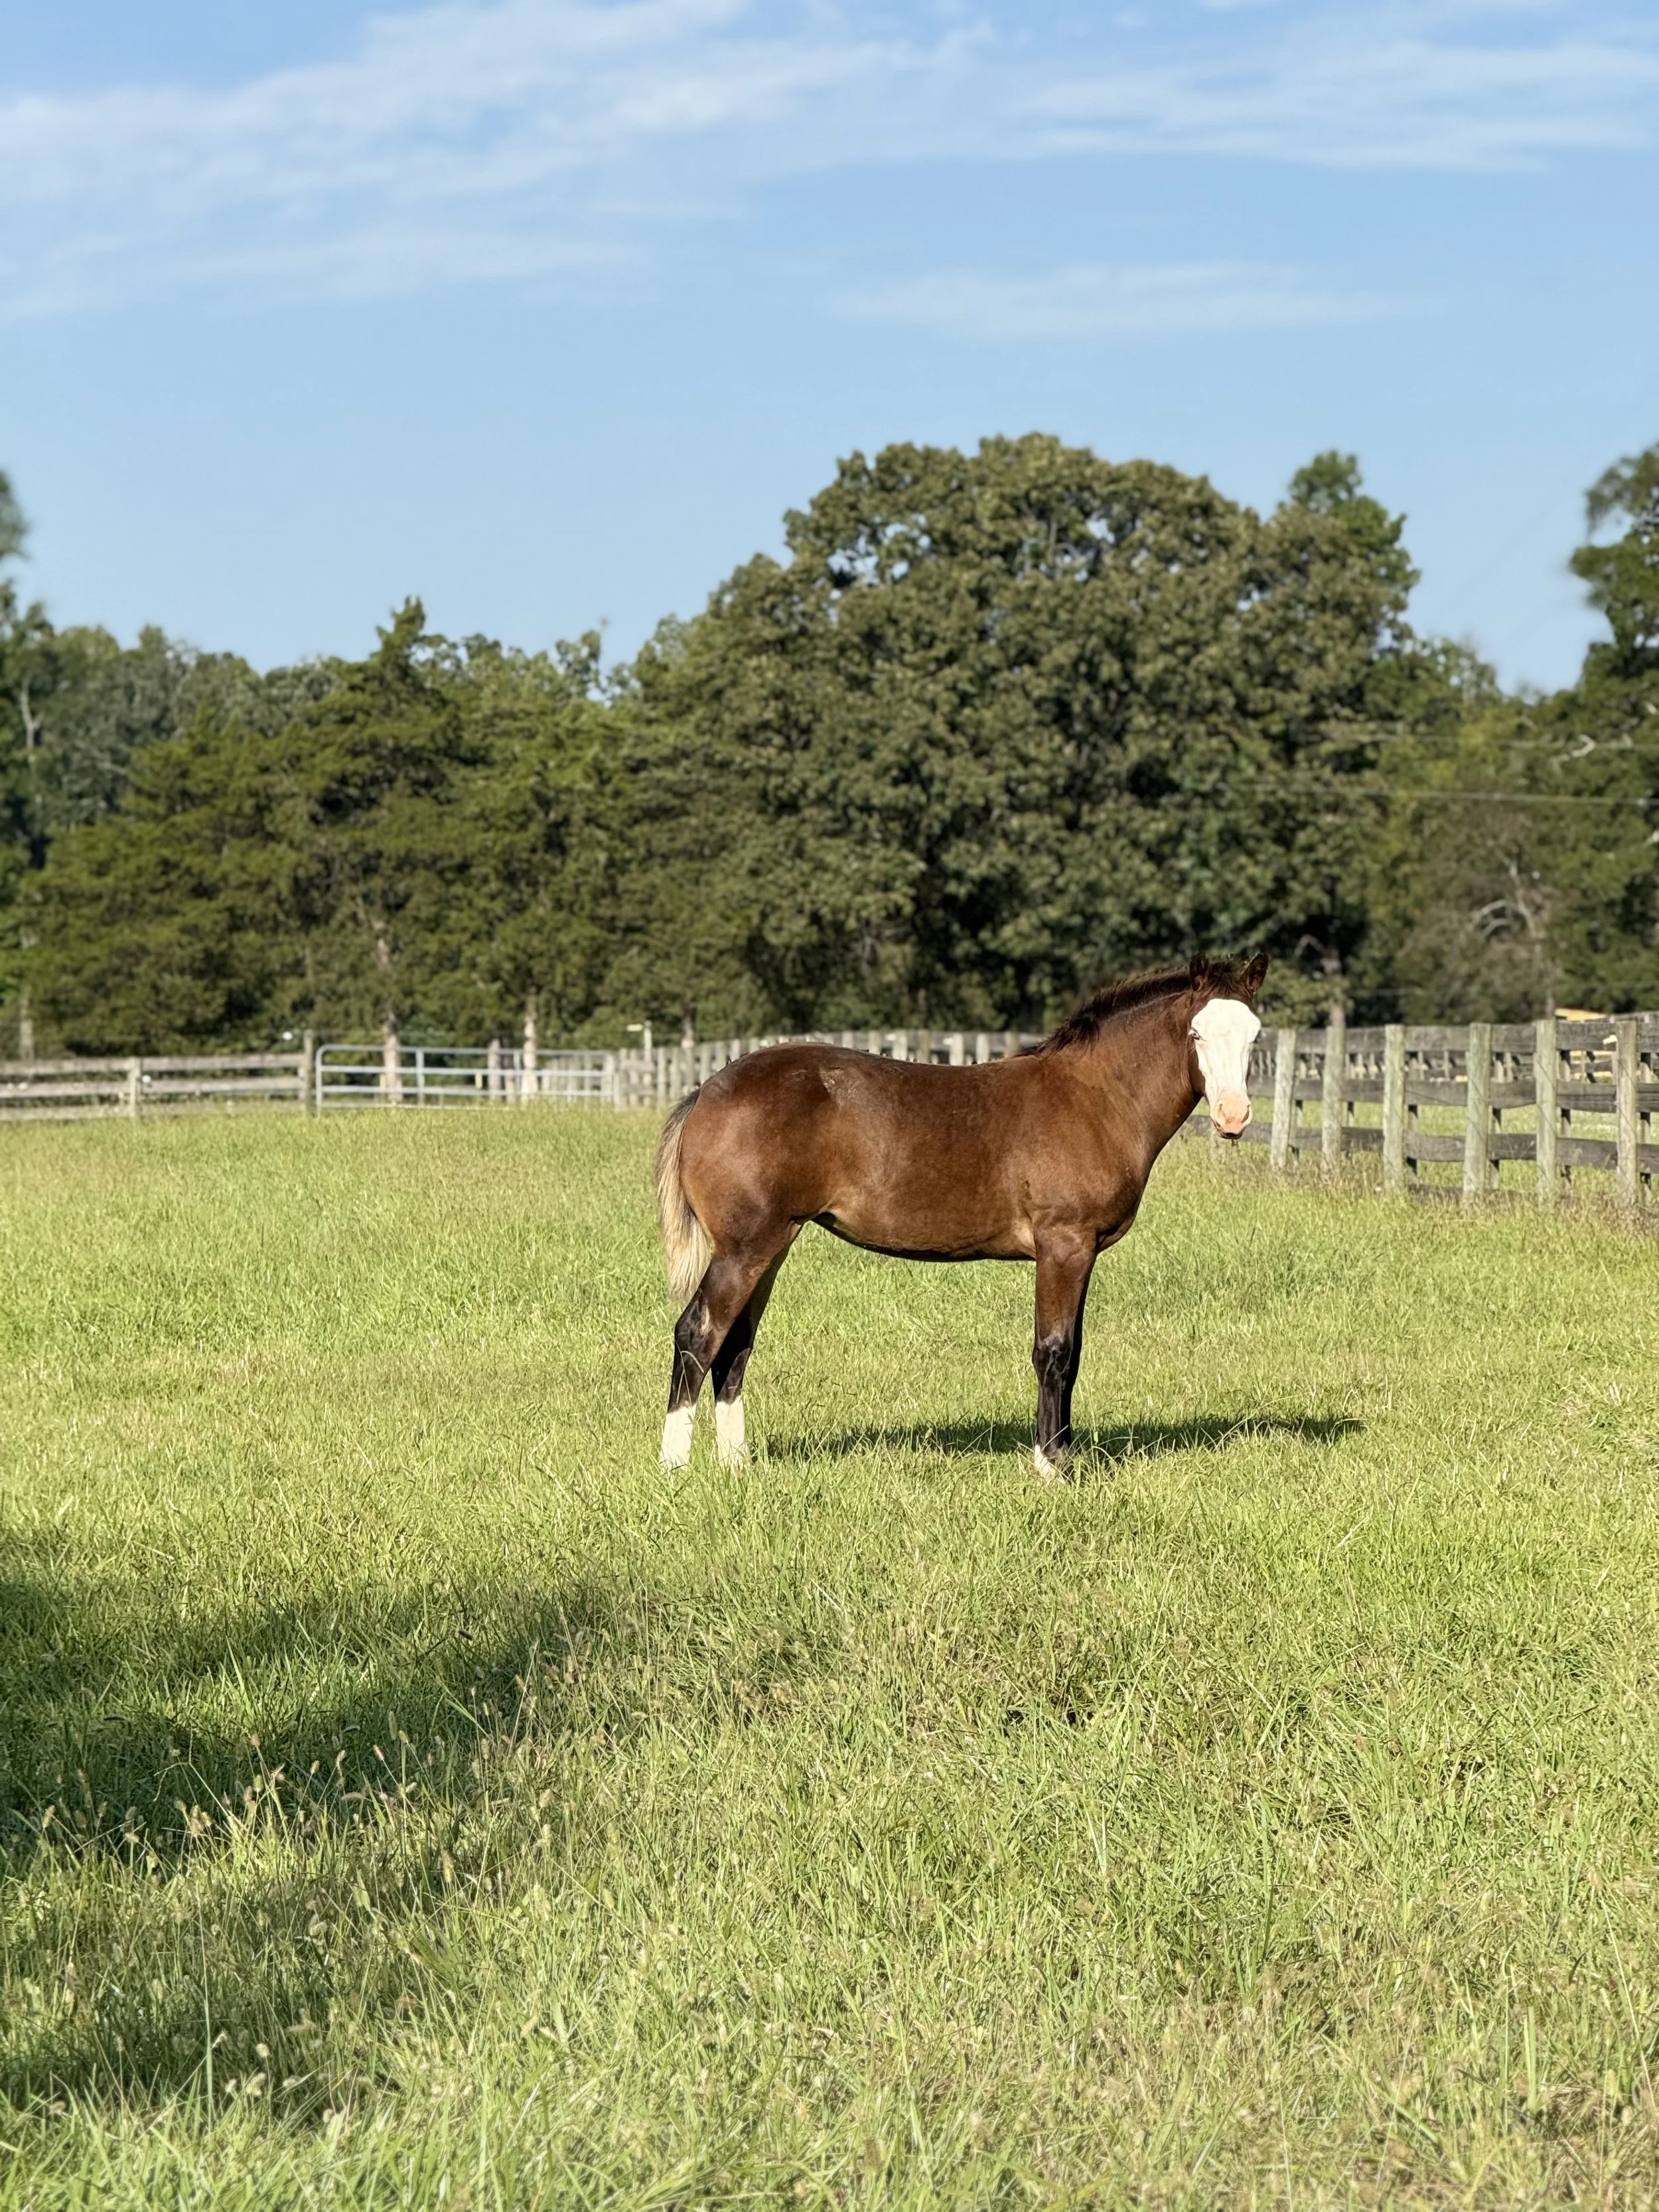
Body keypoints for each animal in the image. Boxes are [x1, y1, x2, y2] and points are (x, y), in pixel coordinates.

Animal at [653, 952, 1267, 1478]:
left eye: (1255, 1034)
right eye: (1196, 1033)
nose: (1234, 1116)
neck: (1094, 1099)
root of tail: (706, 1091)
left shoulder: (1083, 1251)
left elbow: (1074, 1354)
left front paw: (1066, 1458)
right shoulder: (1063, 1245)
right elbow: (1053, 1351)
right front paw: (1050, 1468)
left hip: (773, 1244)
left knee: (735, 1345)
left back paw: (736, 1466)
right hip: (745, 1248)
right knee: (698, 1333)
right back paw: (675, 1468)